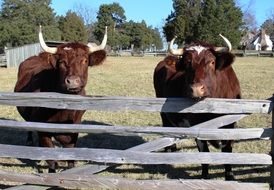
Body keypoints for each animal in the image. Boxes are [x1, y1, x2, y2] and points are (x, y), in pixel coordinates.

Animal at [14, 25, 107, 172]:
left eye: (85, 61)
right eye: (62, 62)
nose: (73, 81)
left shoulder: (75, 129)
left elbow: (70, 157)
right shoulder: (43, 131)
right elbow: (52, 160)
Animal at [153, 35, 241, 180]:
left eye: (212, 62)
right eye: (187, 63)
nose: (196, 89)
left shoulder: (231, 125)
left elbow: (227, 150)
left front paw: (230, 176)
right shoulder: (197, 127)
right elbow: (204, 153)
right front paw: (204, 177)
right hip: (163, 111)